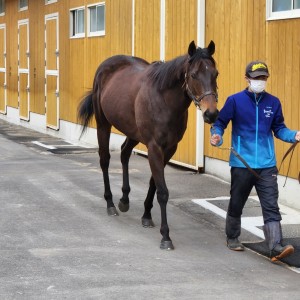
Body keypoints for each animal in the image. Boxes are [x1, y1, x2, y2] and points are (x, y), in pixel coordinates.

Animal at [77, 41, 218, 250]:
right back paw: (111, 203)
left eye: (215, 73)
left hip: (133, 132)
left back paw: (124, 199)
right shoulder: (154, 147)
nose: (211, 114)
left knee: (124, 153)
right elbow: (163, 191)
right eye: (193, 75)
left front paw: (146, 216)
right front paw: (165, 235)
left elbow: (154, 183)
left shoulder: (169, 149)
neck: (164, 99)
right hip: (103, 125)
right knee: (105, 160)